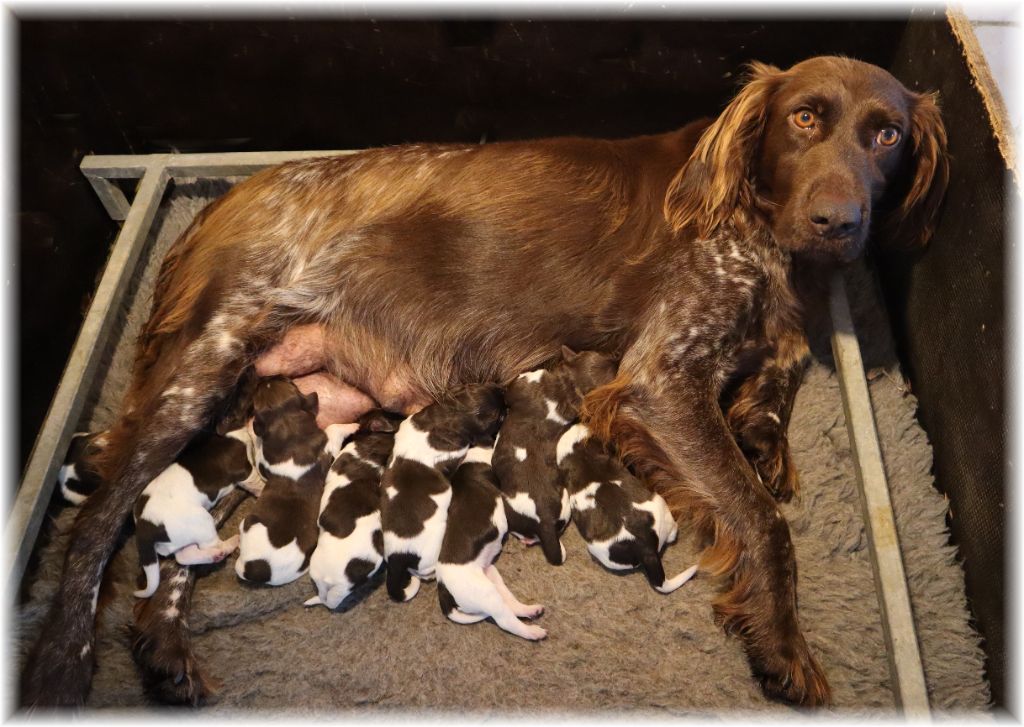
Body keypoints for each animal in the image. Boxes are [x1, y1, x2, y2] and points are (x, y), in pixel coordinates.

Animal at [378, 380, 505, 602]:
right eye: (497, 416)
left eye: (484, 383)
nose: (504, 392)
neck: (452, 412)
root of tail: (397, 557)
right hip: (431, 552)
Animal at [489, 348, 614, 569]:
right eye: (600, 354)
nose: (617, 361)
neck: (567, 387)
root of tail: (545, 520)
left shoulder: (523, 383)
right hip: (564, 509)